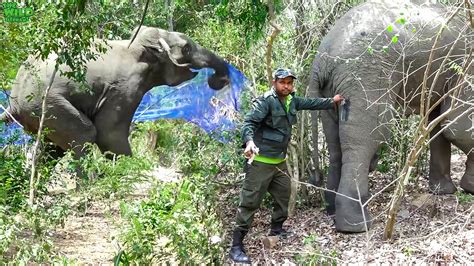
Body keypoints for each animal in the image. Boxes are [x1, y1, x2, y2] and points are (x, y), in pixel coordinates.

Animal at [0, 26, 230, 160]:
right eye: (187, 49)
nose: (218, 80)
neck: (138, 45)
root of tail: (12, 102)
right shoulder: (124, 86)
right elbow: (109, 133)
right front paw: (130, 168)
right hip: (44, 103)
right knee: (84, 134)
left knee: (51, 148)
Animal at [310, 0, 472, 233]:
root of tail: (321, 59)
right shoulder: (466, 65)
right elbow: (457, 125)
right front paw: (469, 188)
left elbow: (437, 123)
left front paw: (443, 192)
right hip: (364, 77)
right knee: (365, 140)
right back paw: (356, 226)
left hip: (331, 91)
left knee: (335, 145)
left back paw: (331, 211)